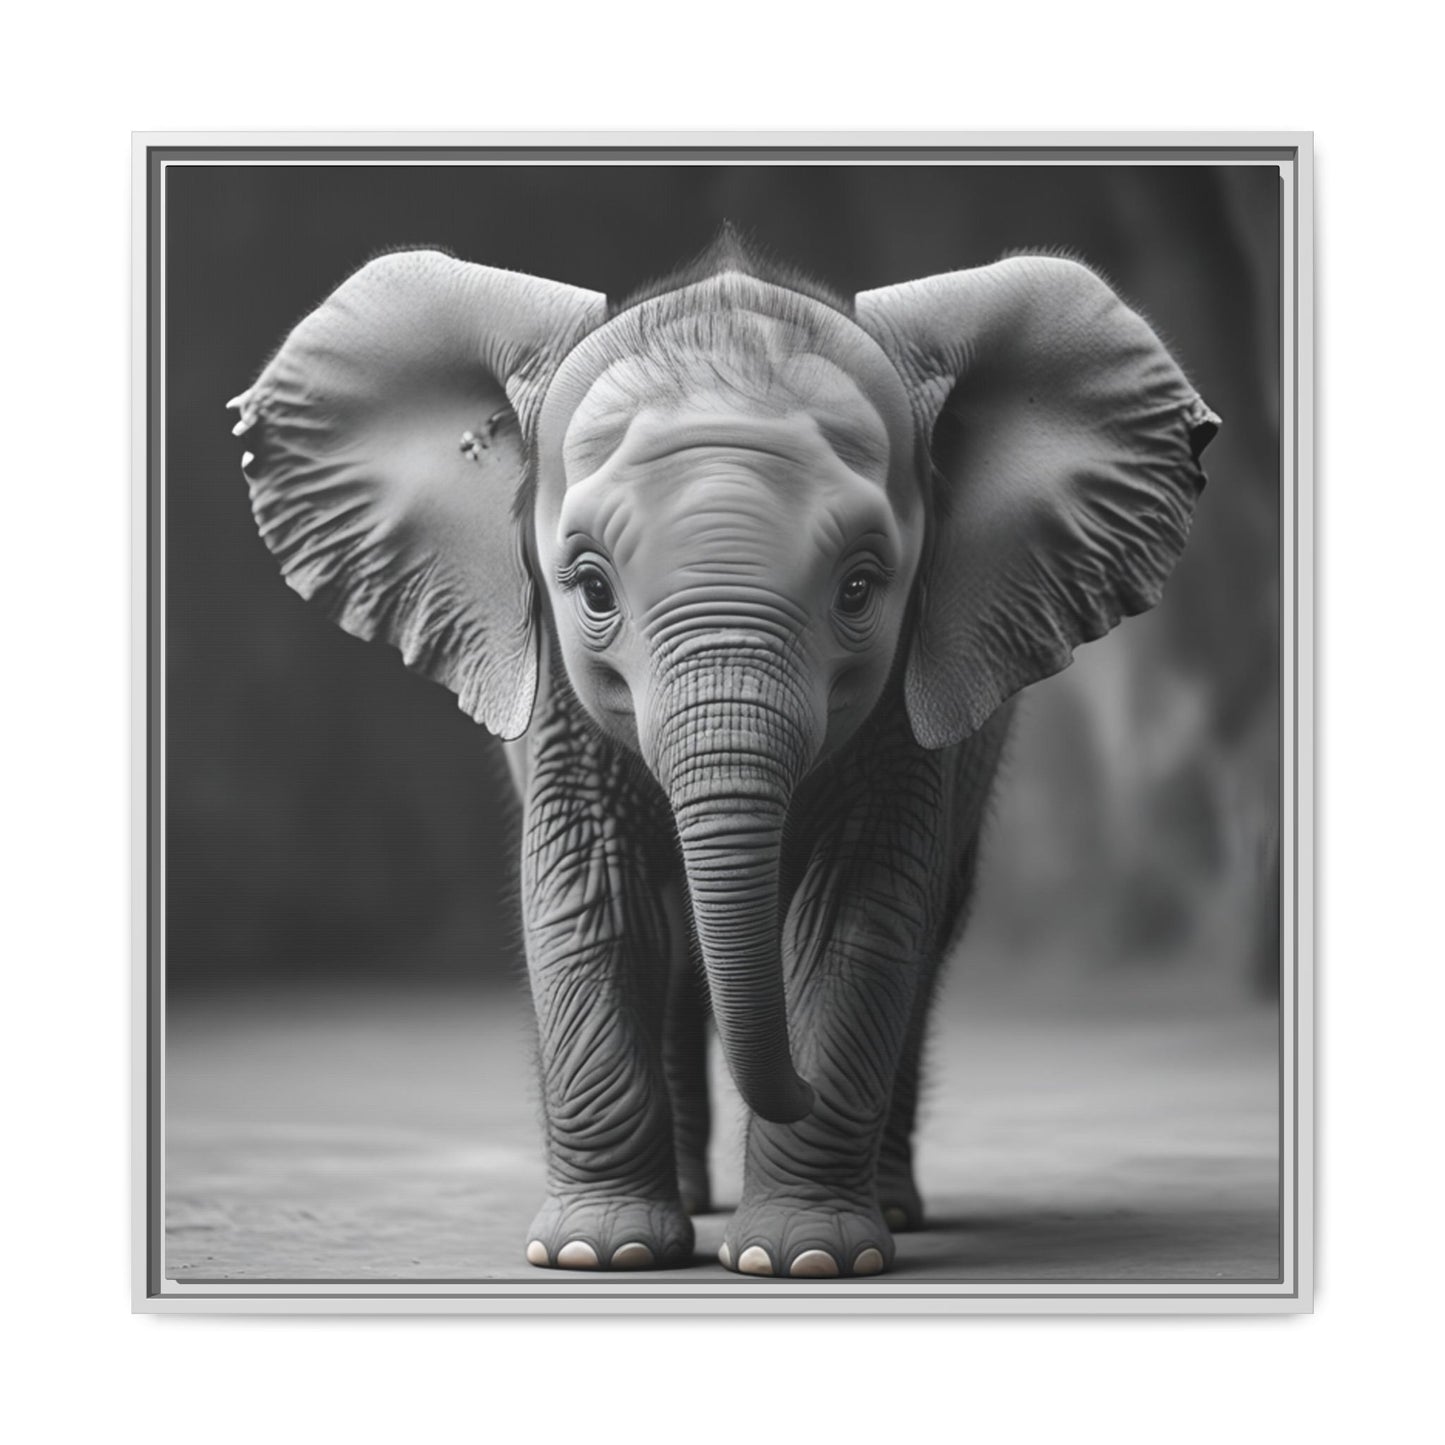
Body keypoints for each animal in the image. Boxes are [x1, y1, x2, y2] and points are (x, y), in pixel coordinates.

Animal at [230, 231, 1218, 1279]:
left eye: (861, 588)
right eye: (590, 586)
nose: (797, 1090)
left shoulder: (907, 695)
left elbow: (857, 913)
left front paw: (805, 1259)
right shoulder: (556, 696)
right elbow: (594, 894)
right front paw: (597, 1253)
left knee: (921, 937)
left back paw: (888, 1207)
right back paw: (690, 1206)